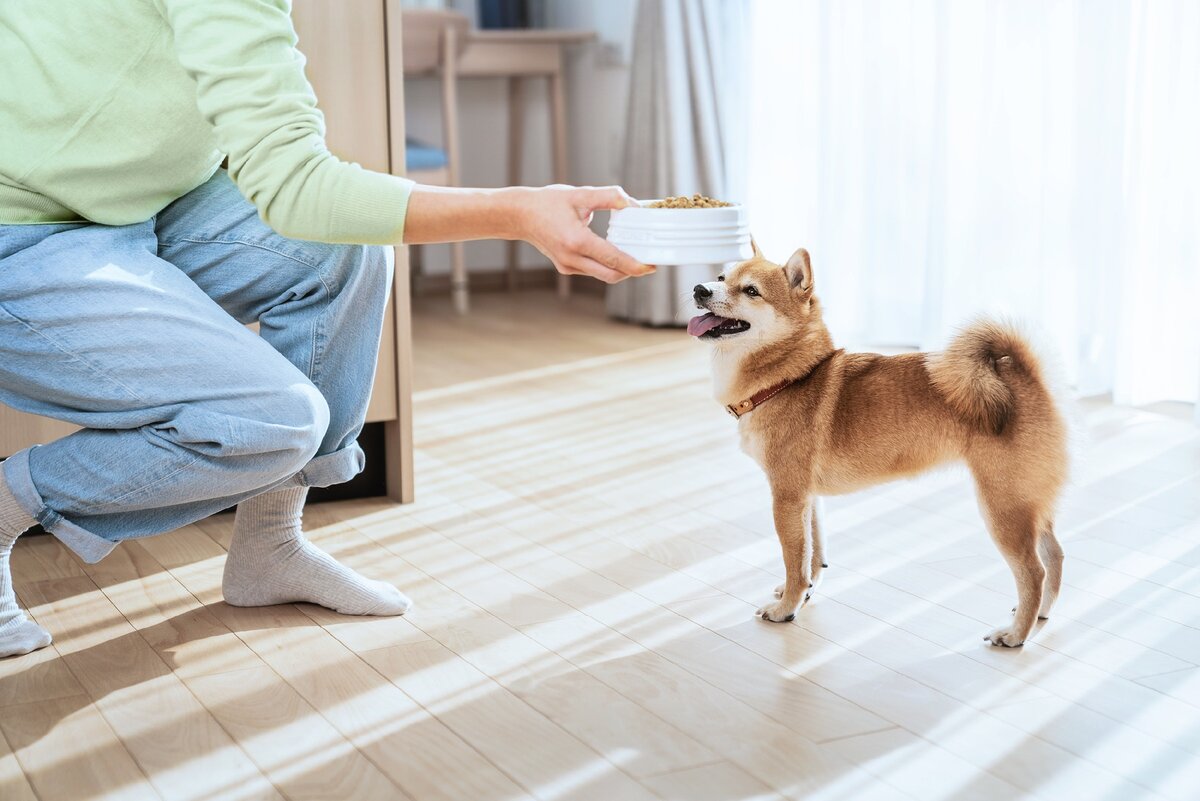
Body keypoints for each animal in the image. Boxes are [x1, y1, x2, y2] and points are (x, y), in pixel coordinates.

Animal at [691, 244, 1075, 642]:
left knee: (1034, 571)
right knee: (1055, 556)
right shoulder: (807, 498)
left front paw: (786, 609)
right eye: (721, 278)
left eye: (750, 291)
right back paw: (1040, 614)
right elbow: (812, 554)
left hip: (1002, 506)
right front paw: (803, 591)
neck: (791, 379)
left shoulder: (786, 497)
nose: (699, 289)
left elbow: (793, 558)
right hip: (1028, 502)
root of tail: (1026, 375)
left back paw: (1015, 635)